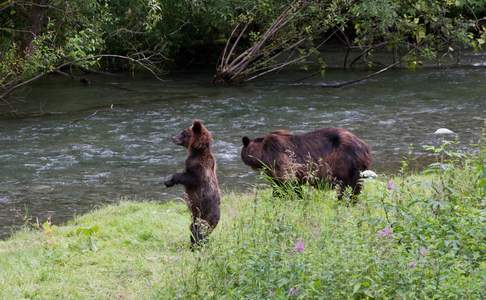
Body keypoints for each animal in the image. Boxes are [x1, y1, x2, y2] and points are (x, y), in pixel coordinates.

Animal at [240, 127, 372, 198]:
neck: (262, 154)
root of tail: (365, 146)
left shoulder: (279, 159)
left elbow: (285, 182)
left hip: (345, 161)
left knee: (347, 186)